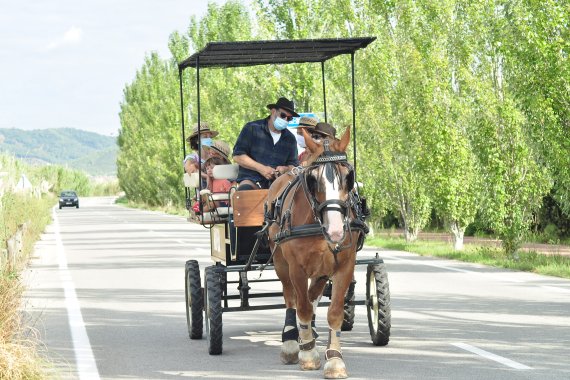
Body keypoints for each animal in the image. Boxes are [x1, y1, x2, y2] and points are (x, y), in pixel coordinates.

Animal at [262, 127, 364, 378]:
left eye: (348, 176)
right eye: (313, 179)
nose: (336, 230)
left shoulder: (344, 266)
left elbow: (334, 311)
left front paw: (334, 359)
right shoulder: (296, 268)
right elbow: (303, 308)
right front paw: (307, 354)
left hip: (321, 271)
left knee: (311, 295)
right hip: (281, 263)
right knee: (291, 298)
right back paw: (292, 342)